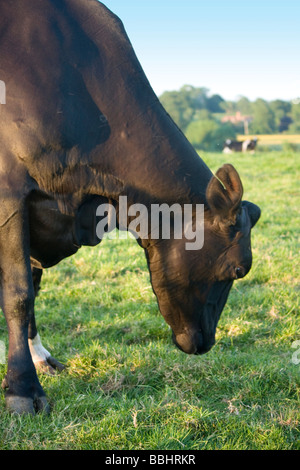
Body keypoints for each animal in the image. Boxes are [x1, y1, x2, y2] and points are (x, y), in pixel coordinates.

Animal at [0, 0, 260, 414]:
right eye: (238, 270)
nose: (205, 343)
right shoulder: (10, 192)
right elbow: (19, 292)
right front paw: (23, 390)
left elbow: (32, 286)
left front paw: (40, 358)